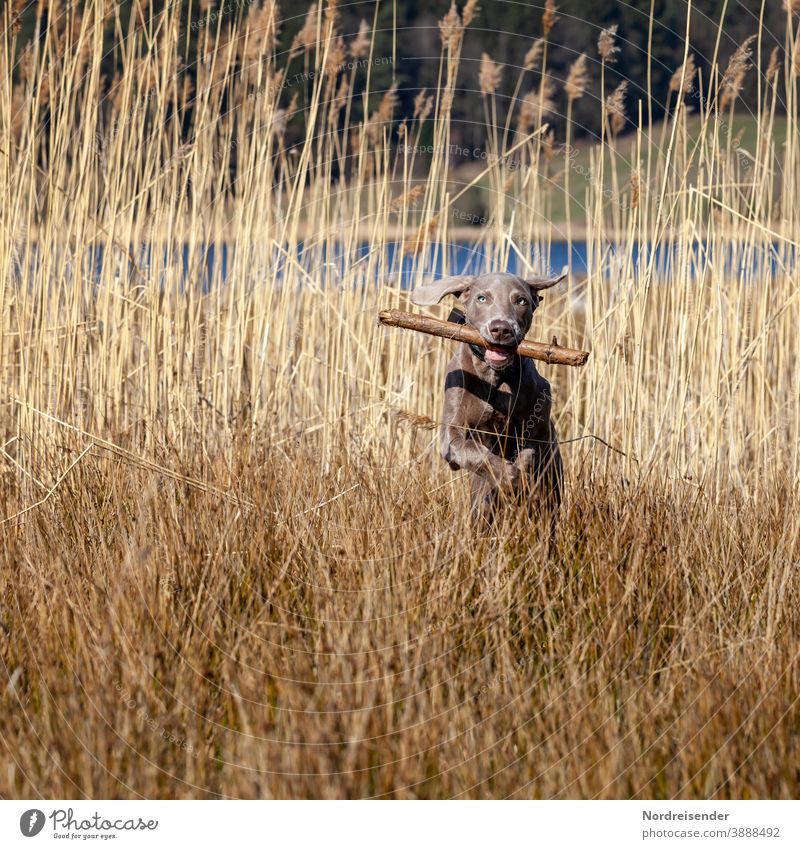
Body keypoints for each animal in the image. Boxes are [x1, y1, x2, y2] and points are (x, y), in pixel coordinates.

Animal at [412, 272, 568, 524]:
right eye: (482, 298)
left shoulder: (539, 426)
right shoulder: (451, 437)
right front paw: (508, 475)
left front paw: (519, 475)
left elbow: (529, 451)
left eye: (521, 301)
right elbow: (476, 453)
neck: (494, 376)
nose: (501, 329)